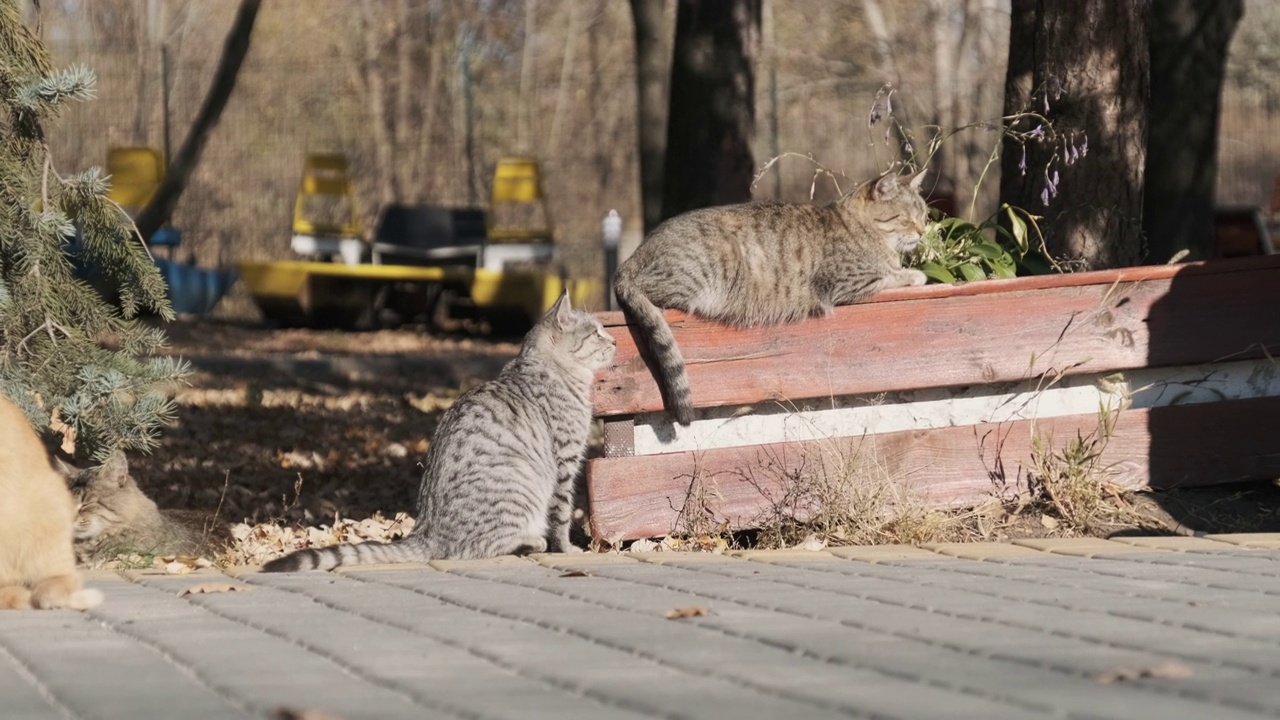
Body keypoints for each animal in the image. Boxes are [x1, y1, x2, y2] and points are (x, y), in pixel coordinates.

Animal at [261, 288, 614, 568]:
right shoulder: (564, 462)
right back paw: (531, 541)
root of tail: (425, 532)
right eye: (597, 333)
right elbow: (562, 515)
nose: (613, 341)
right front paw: (567, 548)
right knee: (478, 547)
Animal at [611, 170, 931, 422]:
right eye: (906, 219)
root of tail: (632, 257)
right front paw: (915, 274)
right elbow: (891, 275)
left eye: (924, 215)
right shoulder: (847, 282)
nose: (924, 231)